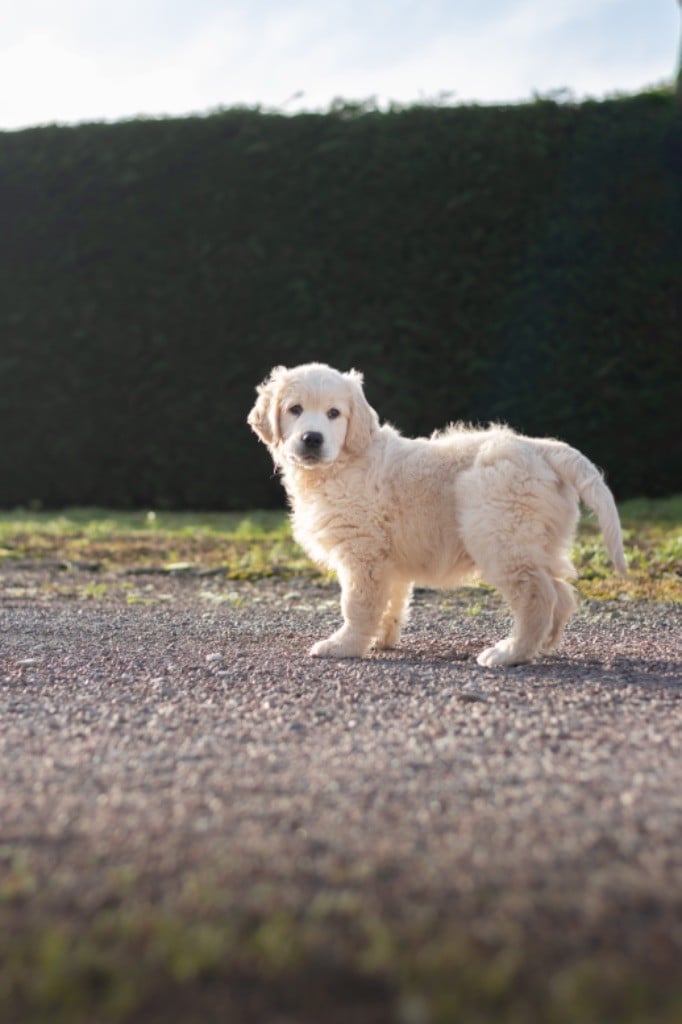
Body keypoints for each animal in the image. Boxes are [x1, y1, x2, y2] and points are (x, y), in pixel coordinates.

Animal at [246, 364, 622, 667]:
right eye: (295, 409)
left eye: (334, 413)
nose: (312, 438)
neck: (343, 462)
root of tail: (542, 447)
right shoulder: (387, 559)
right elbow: (392, 602)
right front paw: (382, 640)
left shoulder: (362, 552)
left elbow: (357, 604)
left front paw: (345, 645)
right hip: (536, 540)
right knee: (561, 592)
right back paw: (542, 646)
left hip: (500, 535)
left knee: (537, 596)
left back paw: (510, 653)